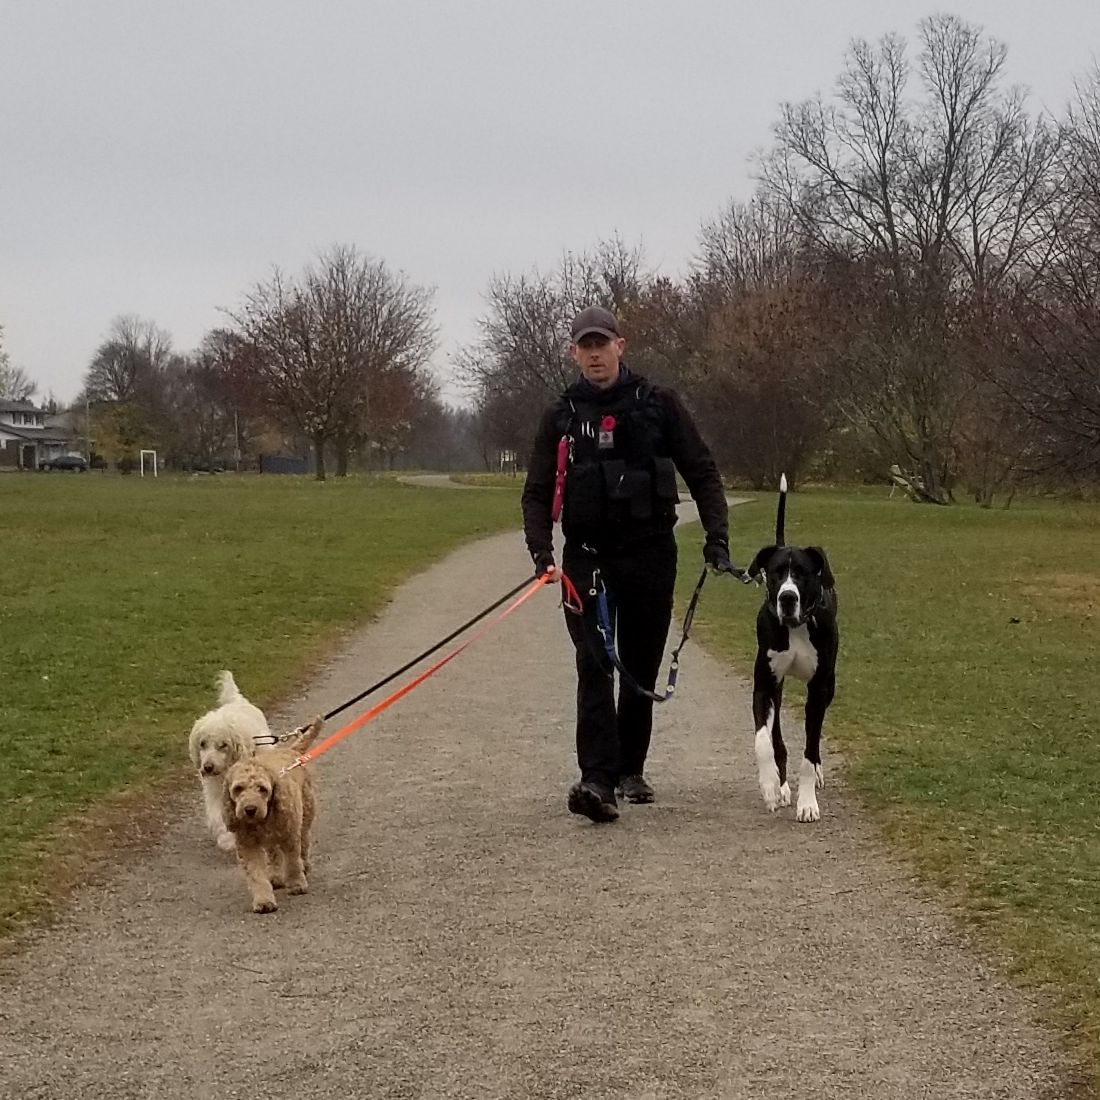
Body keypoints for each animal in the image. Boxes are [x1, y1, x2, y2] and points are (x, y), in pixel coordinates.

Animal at [188, 670, 274, 851]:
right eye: (202, 743)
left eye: (223, 745)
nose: (207, 767)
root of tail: (237, 700)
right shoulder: (215, 792)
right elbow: (218, 817)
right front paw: (227, 839)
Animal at [221, 717, 323, 914]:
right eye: (238, 789)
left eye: (262, 789)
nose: (250, 809)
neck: (261, 821)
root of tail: (291, 751)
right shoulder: (247, 846)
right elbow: (256, 875)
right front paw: (263, 900)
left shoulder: (290, 835)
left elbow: (292, 861)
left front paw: (297, 884)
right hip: (272, 838)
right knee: (274, 853)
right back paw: (275, 877)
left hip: (306, 813)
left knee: (304, 841)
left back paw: (304, 865)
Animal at [746, 474, 837, 822]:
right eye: (774, 573)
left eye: (802, 573)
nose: (787, 597)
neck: (797, 626)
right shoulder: (764, 686)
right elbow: (764, 741)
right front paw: (772, 786)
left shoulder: (819, 689)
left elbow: (809, 752)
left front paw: (807, 803)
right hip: (779, 686)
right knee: (777, 738)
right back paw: (782, 786)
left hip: (830, 686)